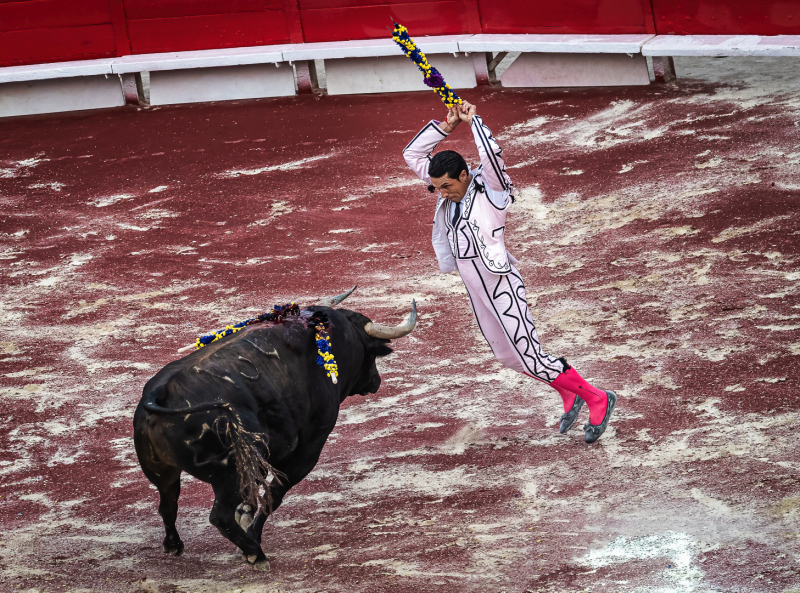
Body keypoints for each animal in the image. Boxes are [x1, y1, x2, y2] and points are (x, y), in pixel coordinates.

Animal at [133, 288, 416, 570]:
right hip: (230, 475)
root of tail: (159, 394)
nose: (376, 381)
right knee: (219, 515)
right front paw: (252, 534)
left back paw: (174, 545)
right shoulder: (310, 446)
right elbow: (275, 493)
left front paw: (245, 515)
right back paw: (255, 553)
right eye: (370, 352)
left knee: (168, 504)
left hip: (164, 472)